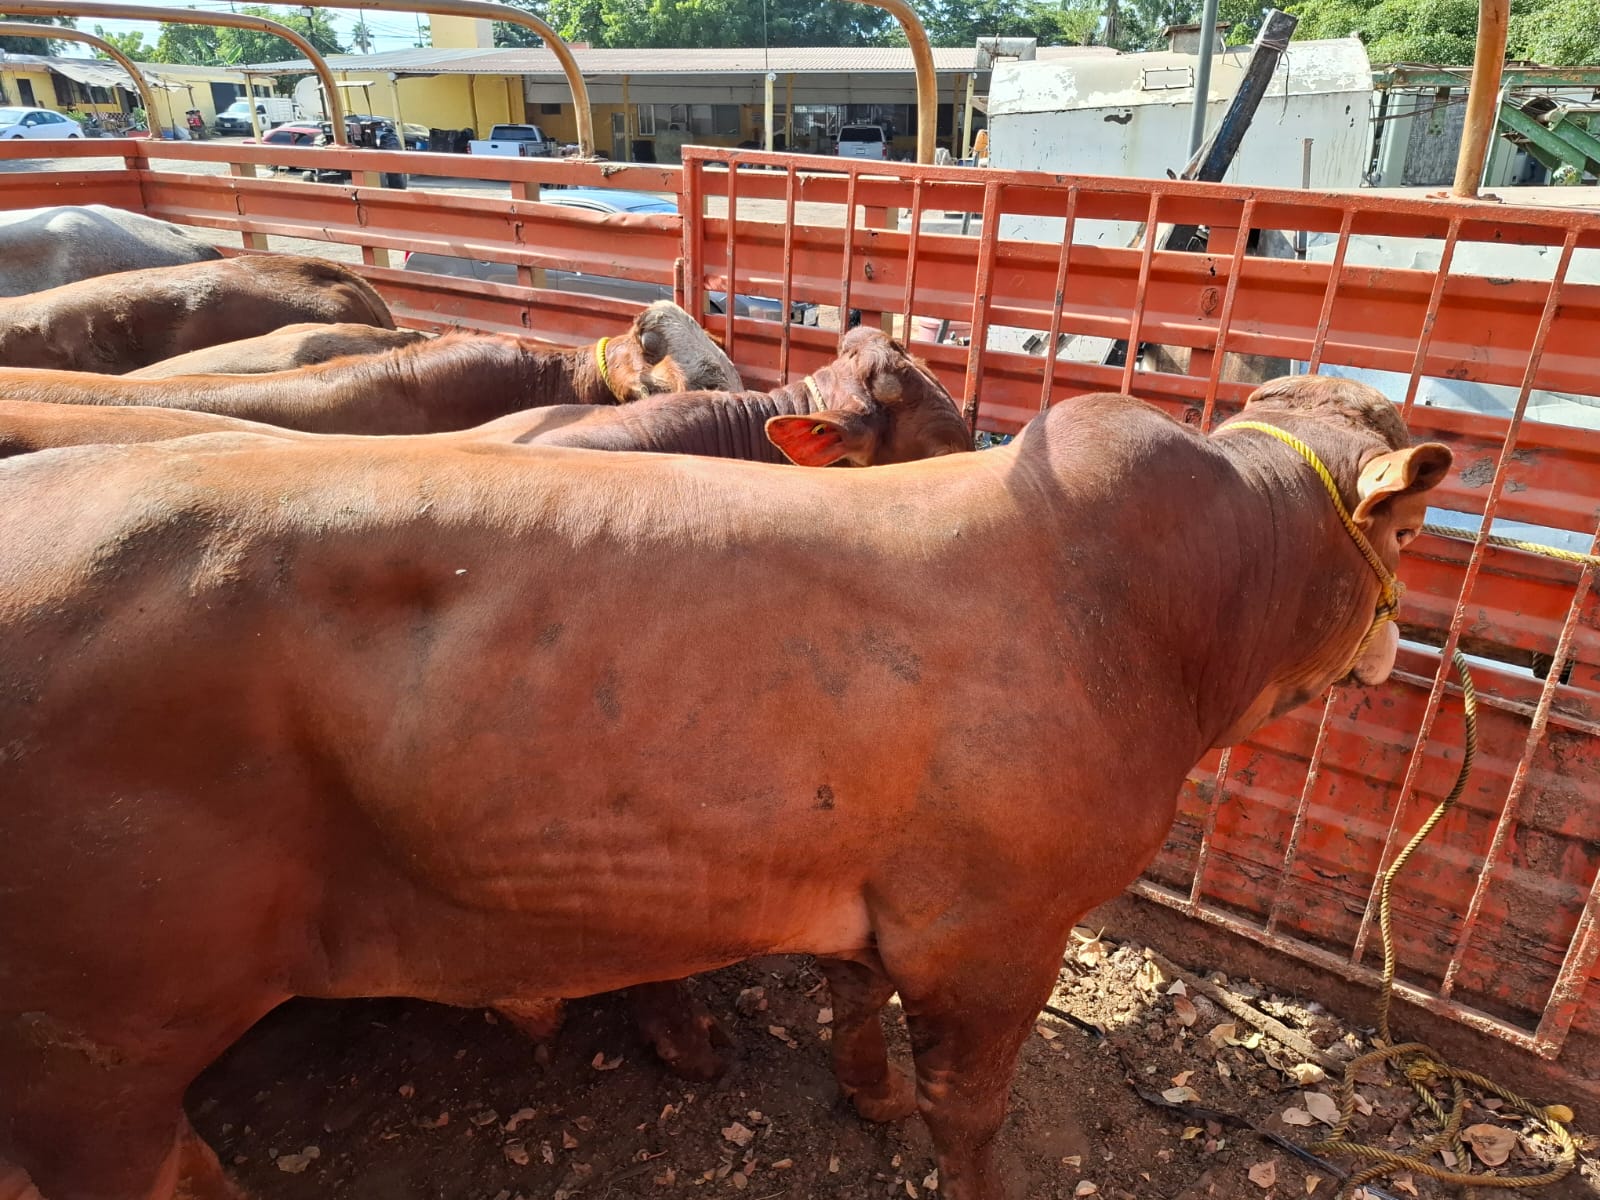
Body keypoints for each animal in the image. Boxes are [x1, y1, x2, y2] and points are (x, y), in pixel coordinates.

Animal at [0, 375, 1450, 1200]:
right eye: (1412, 521)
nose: (1409, 644)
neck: (1172, 613)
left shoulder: (872, 883)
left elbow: (852, 994)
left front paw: (868, 1093)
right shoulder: (998, 929)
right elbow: (974, 1115)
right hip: (95, 1044)